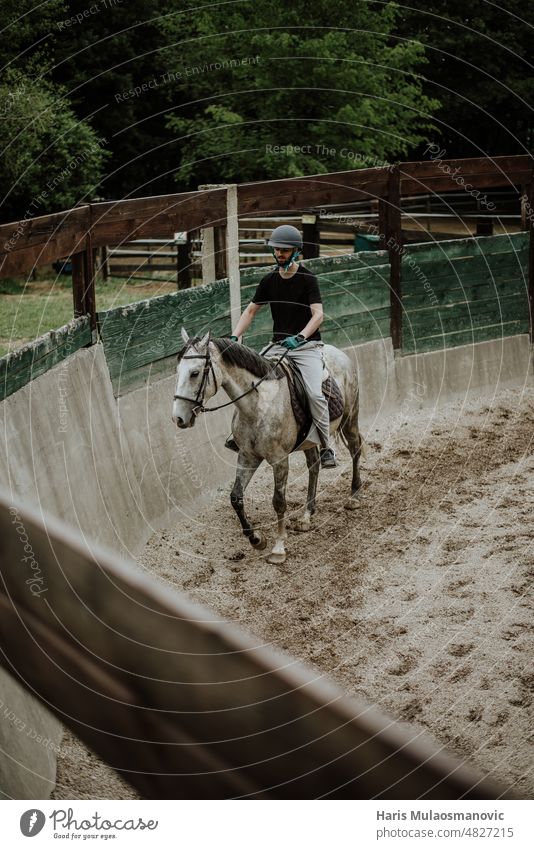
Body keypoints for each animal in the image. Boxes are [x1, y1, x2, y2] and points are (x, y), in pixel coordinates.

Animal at [173, 330, 364, 564]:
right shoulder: (248, 456)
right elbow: (235, 497)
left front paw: (278, 548)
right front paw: (256, 539)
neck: (257, 405)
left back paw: (354, 495)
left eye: (195, 373)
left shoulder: (279, 460)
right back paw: (306, 516)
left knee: (355, 448)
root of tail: (338, 352)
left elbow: (279, 502)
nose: (178, 418)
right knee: (314, 467)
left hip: (350, 418)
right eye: (177, 371)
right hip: (311, 439)